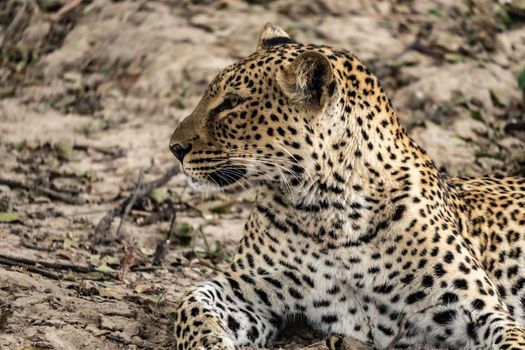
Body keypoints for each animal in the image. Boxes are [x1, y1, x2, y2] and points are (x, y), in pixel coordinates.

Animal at [167, 23, 524, 348]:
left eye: (232, 103)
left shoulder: (478, 310)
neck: (327, 209)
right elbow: (191, 303)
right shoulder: (246, 288)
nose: (174, 148)